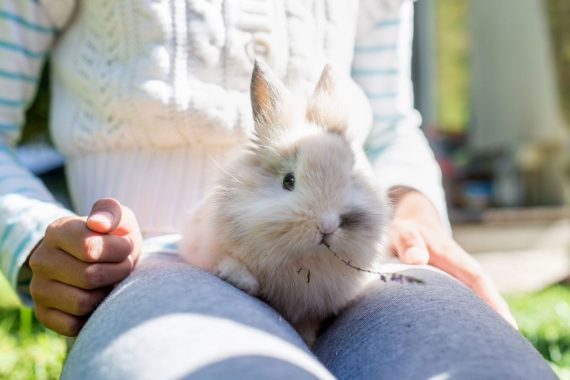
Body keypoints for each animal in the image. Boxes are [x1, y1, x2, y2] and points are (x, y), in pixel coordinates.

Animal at [181, 60, 390, 346]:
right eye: (288, 181)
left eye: (351, 177)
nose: (327, 226)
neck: (305, 260)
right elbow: (229, 263)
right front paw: (246, 283)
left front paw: (308, 342)